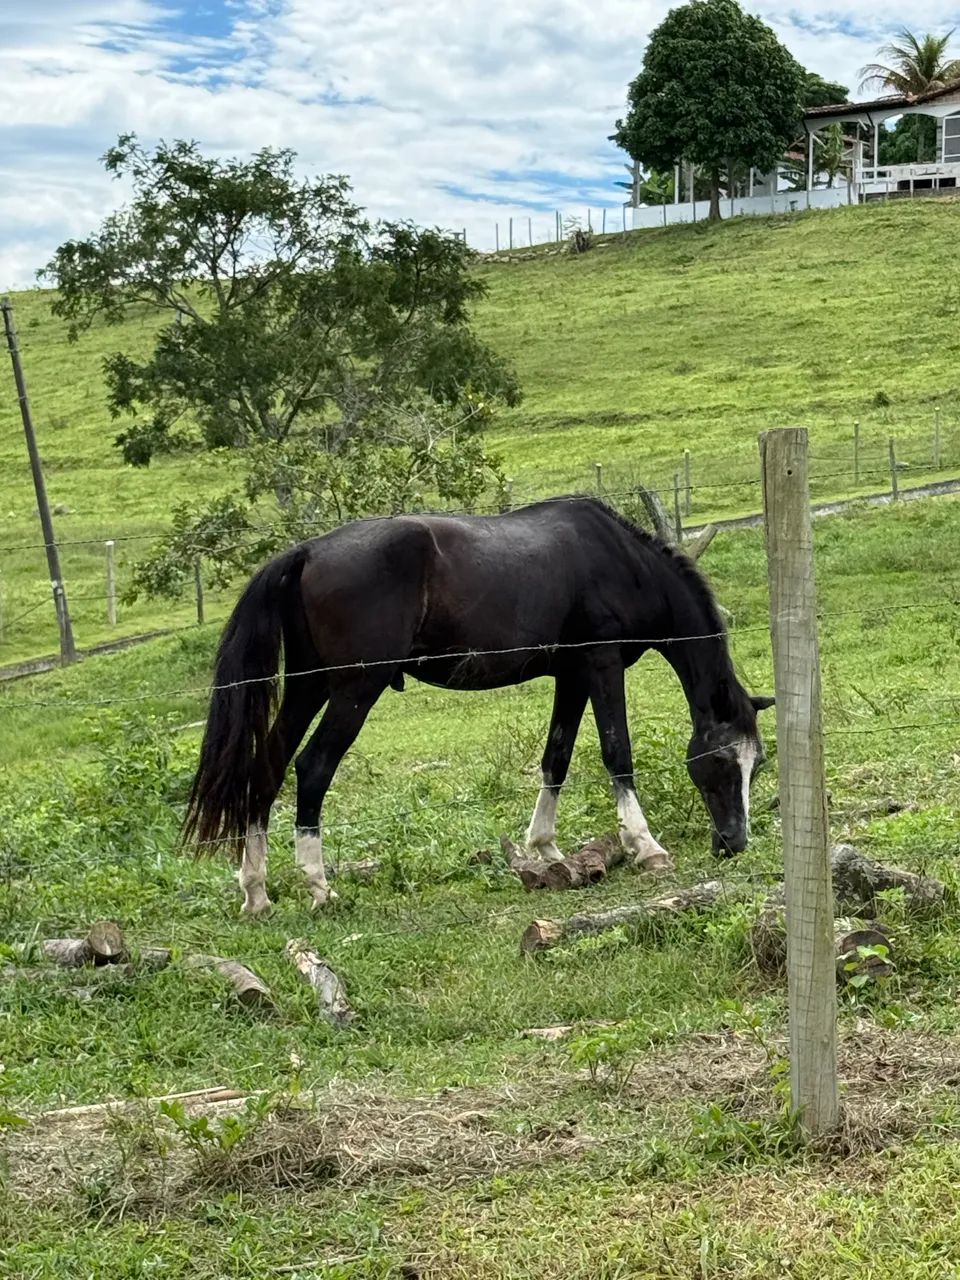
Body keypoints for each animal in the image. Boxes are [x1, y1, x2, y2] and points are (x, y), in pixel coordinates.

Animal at [183, 496, 774, 915]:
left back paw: (256, 891)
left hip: (310, 688)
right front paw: (645, 846)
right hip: (353, 691)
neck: (623, 563)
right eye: (721, 762)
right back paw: (319, 887)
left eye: (758, 764)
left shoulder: (571, 676)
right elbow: (616, 754)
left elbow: (556, 759)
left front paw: (547, 851)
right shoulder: (602, 667)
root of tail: (305, 552)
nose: (734, 842)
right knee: (311, 769)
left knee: (268, 766)